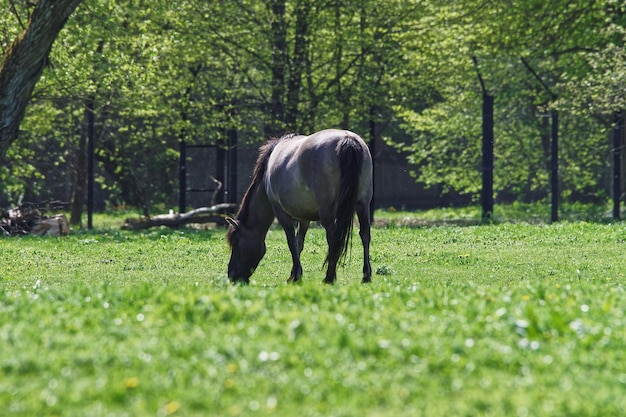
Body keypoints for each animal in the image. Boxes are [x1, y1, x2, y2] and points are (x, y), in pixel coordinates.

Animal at [224, 127, 370, 282]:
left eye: (236, 243)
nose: (232, 276)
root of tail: (347, 139)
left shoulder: (280, 211)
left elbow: (291, 241)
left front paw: (296, 276)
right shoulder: (304, 214)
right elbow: (299, 242)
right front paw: (294, 273)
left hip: (327, 211)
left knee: (333, 237)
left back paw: (329, 277)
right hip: (363, 203)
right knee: (365, 234)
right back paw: (366, 275)